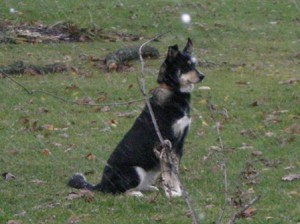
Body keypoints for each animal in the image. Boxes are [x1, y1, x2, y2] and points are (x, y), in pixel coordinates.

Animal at [68, 38, 204, 196]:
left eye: (194, 64)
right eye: (185, 66)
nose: (202, 76)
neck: (174, 92)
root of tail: (101, 184)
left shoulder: (179, 144)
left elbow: (174, 172)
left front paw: (177, 191)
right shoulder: (165, 143)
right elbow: (170, 172)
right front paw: (174, 193)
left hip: (150, 173)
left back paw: (148, 188)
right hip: (135, 171)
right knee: (118, 192)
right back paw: (135, 194)